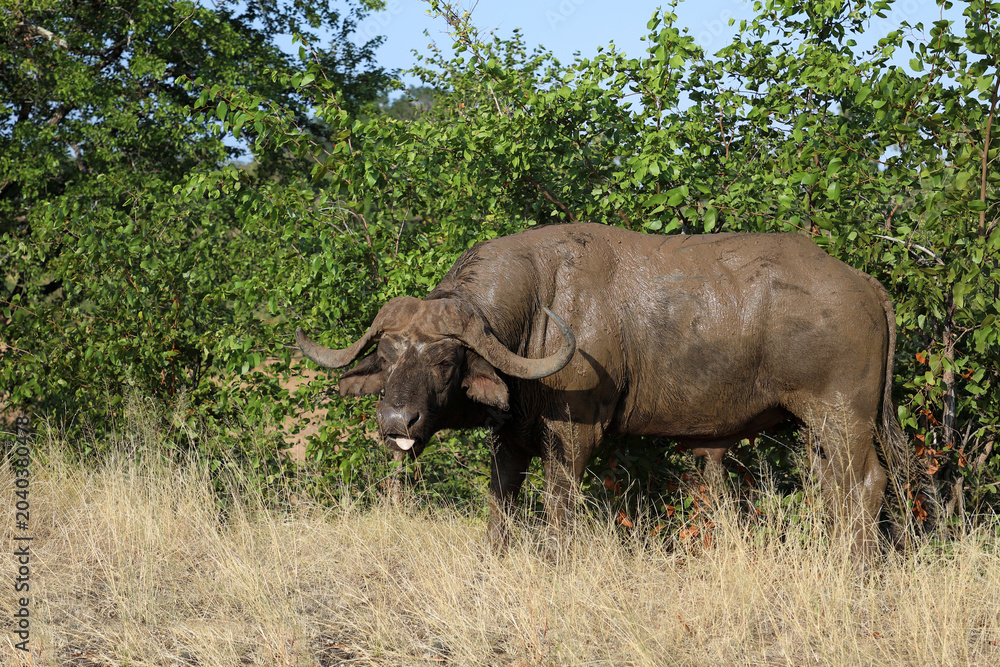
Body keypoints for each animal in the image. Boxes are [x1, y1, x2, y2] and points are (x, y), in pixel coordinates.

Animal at [296, 223, 916, 554]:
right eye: (387, 354)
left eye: (447, 360)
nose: (396, 422)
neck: (537, 310)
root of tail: (864, 284)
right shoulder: (512, 438)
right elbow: (500, 503)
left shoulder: (575, 436)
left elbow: (559, 506)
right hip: (816, 429)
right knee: (836, 491)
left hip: (844, 417)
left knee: (868, 483)